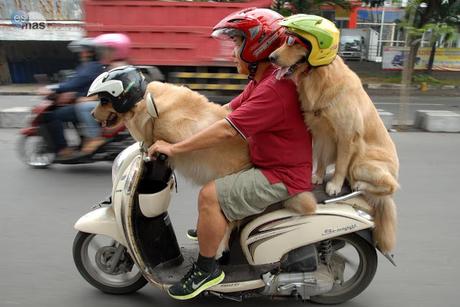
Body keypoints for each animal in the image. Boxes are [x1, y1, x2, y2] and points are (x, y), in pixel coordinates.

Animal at [92, 80, 318, 251]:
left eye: (104, 101)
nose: (93, 115)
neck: (146, 105)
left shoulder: (178, 131)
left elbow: (171, 142)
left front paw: (158, 147)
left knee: (230, 223)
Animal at [270, 14, 398, 254]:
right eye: (285, 40)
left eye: (293, 43)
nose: (271, 57)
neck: (318, 77)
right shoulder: (320, 133)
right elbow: (320, 159)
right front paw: (318, 176)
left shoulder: (346, 136)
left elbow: (339, 164)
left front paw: (335, 185)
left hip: (361, 164)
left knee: (390, 186)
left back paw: (359, 185)